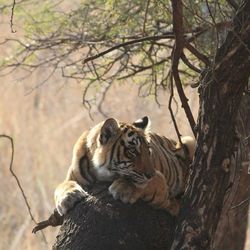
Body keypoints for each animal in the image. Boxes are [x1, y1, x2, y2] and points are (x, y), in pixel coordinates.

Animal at [54, 116, 195, 216]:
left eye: (148, 150)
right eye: (132, 151)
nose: (150, 174)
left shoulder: (159, 182)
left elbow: (143, 183)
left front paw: (123, 189)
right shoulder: (72, 177)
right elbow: (60, 187)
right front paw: (69, 197)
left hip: (189, 141)